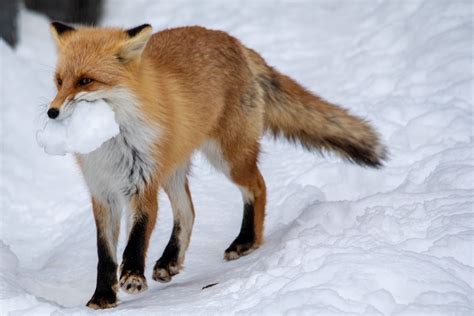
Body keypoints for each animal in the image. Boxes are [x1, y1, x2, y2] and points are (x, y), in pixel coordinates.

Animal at [49, 22, 386, 308]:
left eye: (86, 81)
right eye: (59, 82)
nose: (52, 112)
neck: (111, 144)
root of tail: (234, 41)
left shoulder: (142, 184)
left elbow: (137, 239)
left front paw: (132, 276)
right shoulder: (102, 192)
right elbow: (104, 253)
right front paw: (102, 296)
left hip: (227, 158)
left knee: (258, 187)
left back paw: (246, 241)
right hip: (173, 170)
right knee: (189, 211)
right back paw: (170, 261)